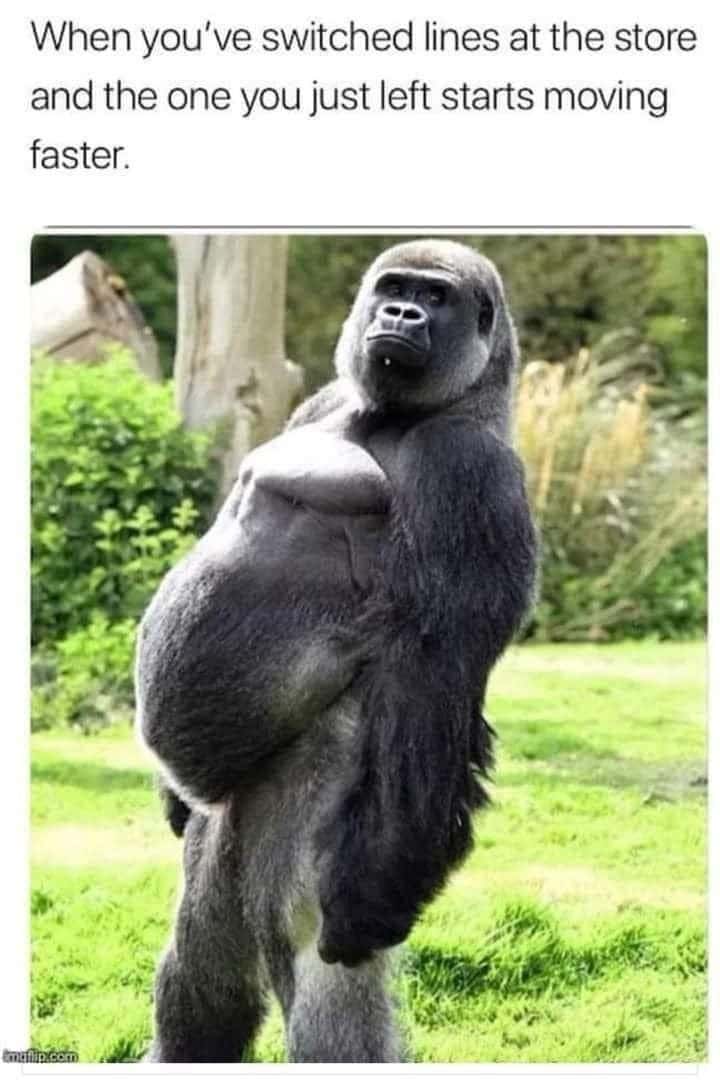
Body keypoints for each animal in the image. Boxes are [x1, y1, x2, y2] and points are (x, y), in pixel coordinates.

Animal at [135, 239, 538, 1062]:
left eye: (435, 298)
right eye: (394, 289)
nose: (401, 315)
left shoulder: (468, 473)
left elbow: (434, 670)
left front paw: (370, 907)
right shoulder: (319, 402)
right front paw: (168, 798)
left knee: (326, 1003)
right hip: (227, 839)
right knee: (200, 983)